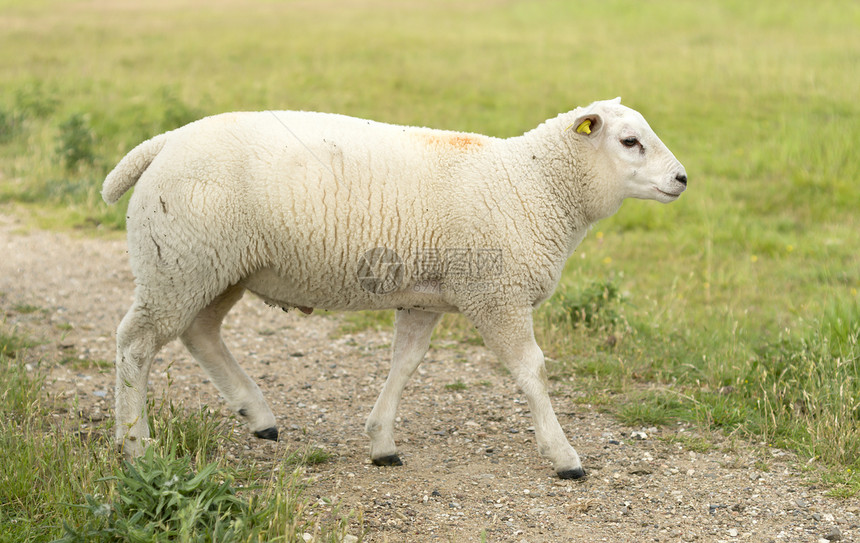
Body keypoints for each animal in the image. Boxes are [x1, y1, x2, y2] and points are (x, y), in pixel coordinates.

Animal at [104, 99, 688, 480]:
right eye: (629, 142)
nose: (682, 179)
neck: (533, 185)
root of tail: (166, 141)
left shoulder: (424, 297)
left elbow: (405, 364)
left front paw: (381, 442)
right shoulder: (496, 294)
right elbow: (532, 371)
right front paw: (564, 456)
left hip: (216, 267)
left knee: (200, 332)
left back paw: (257, 416)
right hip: (181, 262)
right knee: (136, 343)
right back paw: (135, 445)